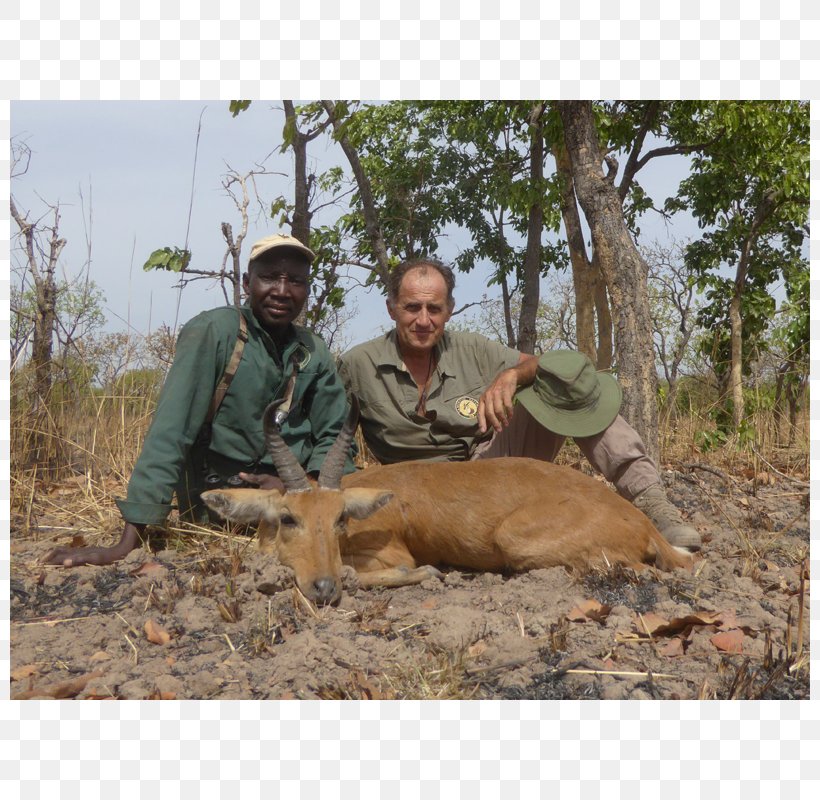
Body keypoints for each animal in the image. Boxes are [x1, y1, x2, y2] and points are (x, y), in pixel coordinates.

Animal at [200, 400, 692, 608]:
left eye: (340, 519)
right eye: (288, 518)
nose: (323, 589)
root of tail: (642, 523)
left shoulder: (389, 553)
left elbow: (389, 570)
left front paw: (429, 573)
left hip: (516, 541)